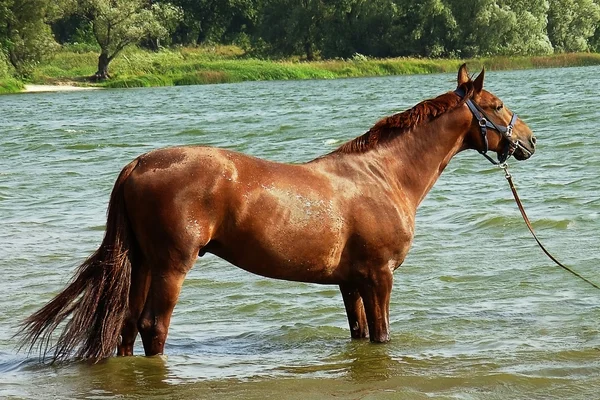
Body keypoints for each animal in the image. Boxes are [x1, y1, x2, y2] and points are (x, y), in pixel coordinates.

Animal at [19, 64, 536, 360]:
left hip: (143, 264)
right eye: (496, 104)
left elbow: (360, 336)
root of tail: (140, 163)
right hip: (170, 266)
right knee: (152, 327)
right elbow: (382, 335)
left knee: (126, 327)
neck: (381, 176)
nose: (529, 140)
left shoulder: (351, 283)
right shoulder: (379, 277)